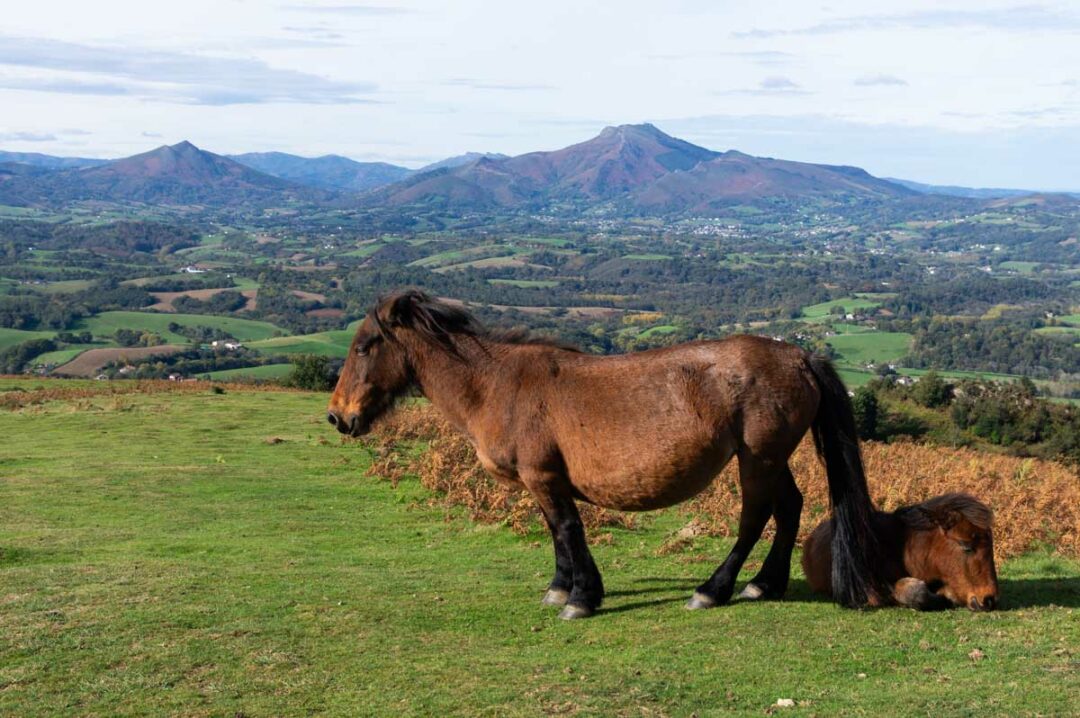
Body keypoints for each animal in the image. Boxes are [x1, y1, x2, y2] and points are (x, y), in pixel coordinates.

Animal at [327, 289, 889, 619]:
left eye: (365, 346)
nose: (338, 416)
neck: (495, 385)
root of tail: (799, 355)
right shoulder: (542, 480)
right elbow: (557, 532)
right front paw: (564, 587)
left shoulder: (544, 476)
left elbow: (567, 529)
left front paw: (579, 599)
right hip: (773, 459)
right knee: (790, 507)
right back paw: (764, 585)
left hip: (758, 459)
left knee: (755, 517)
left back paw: (714, 589)